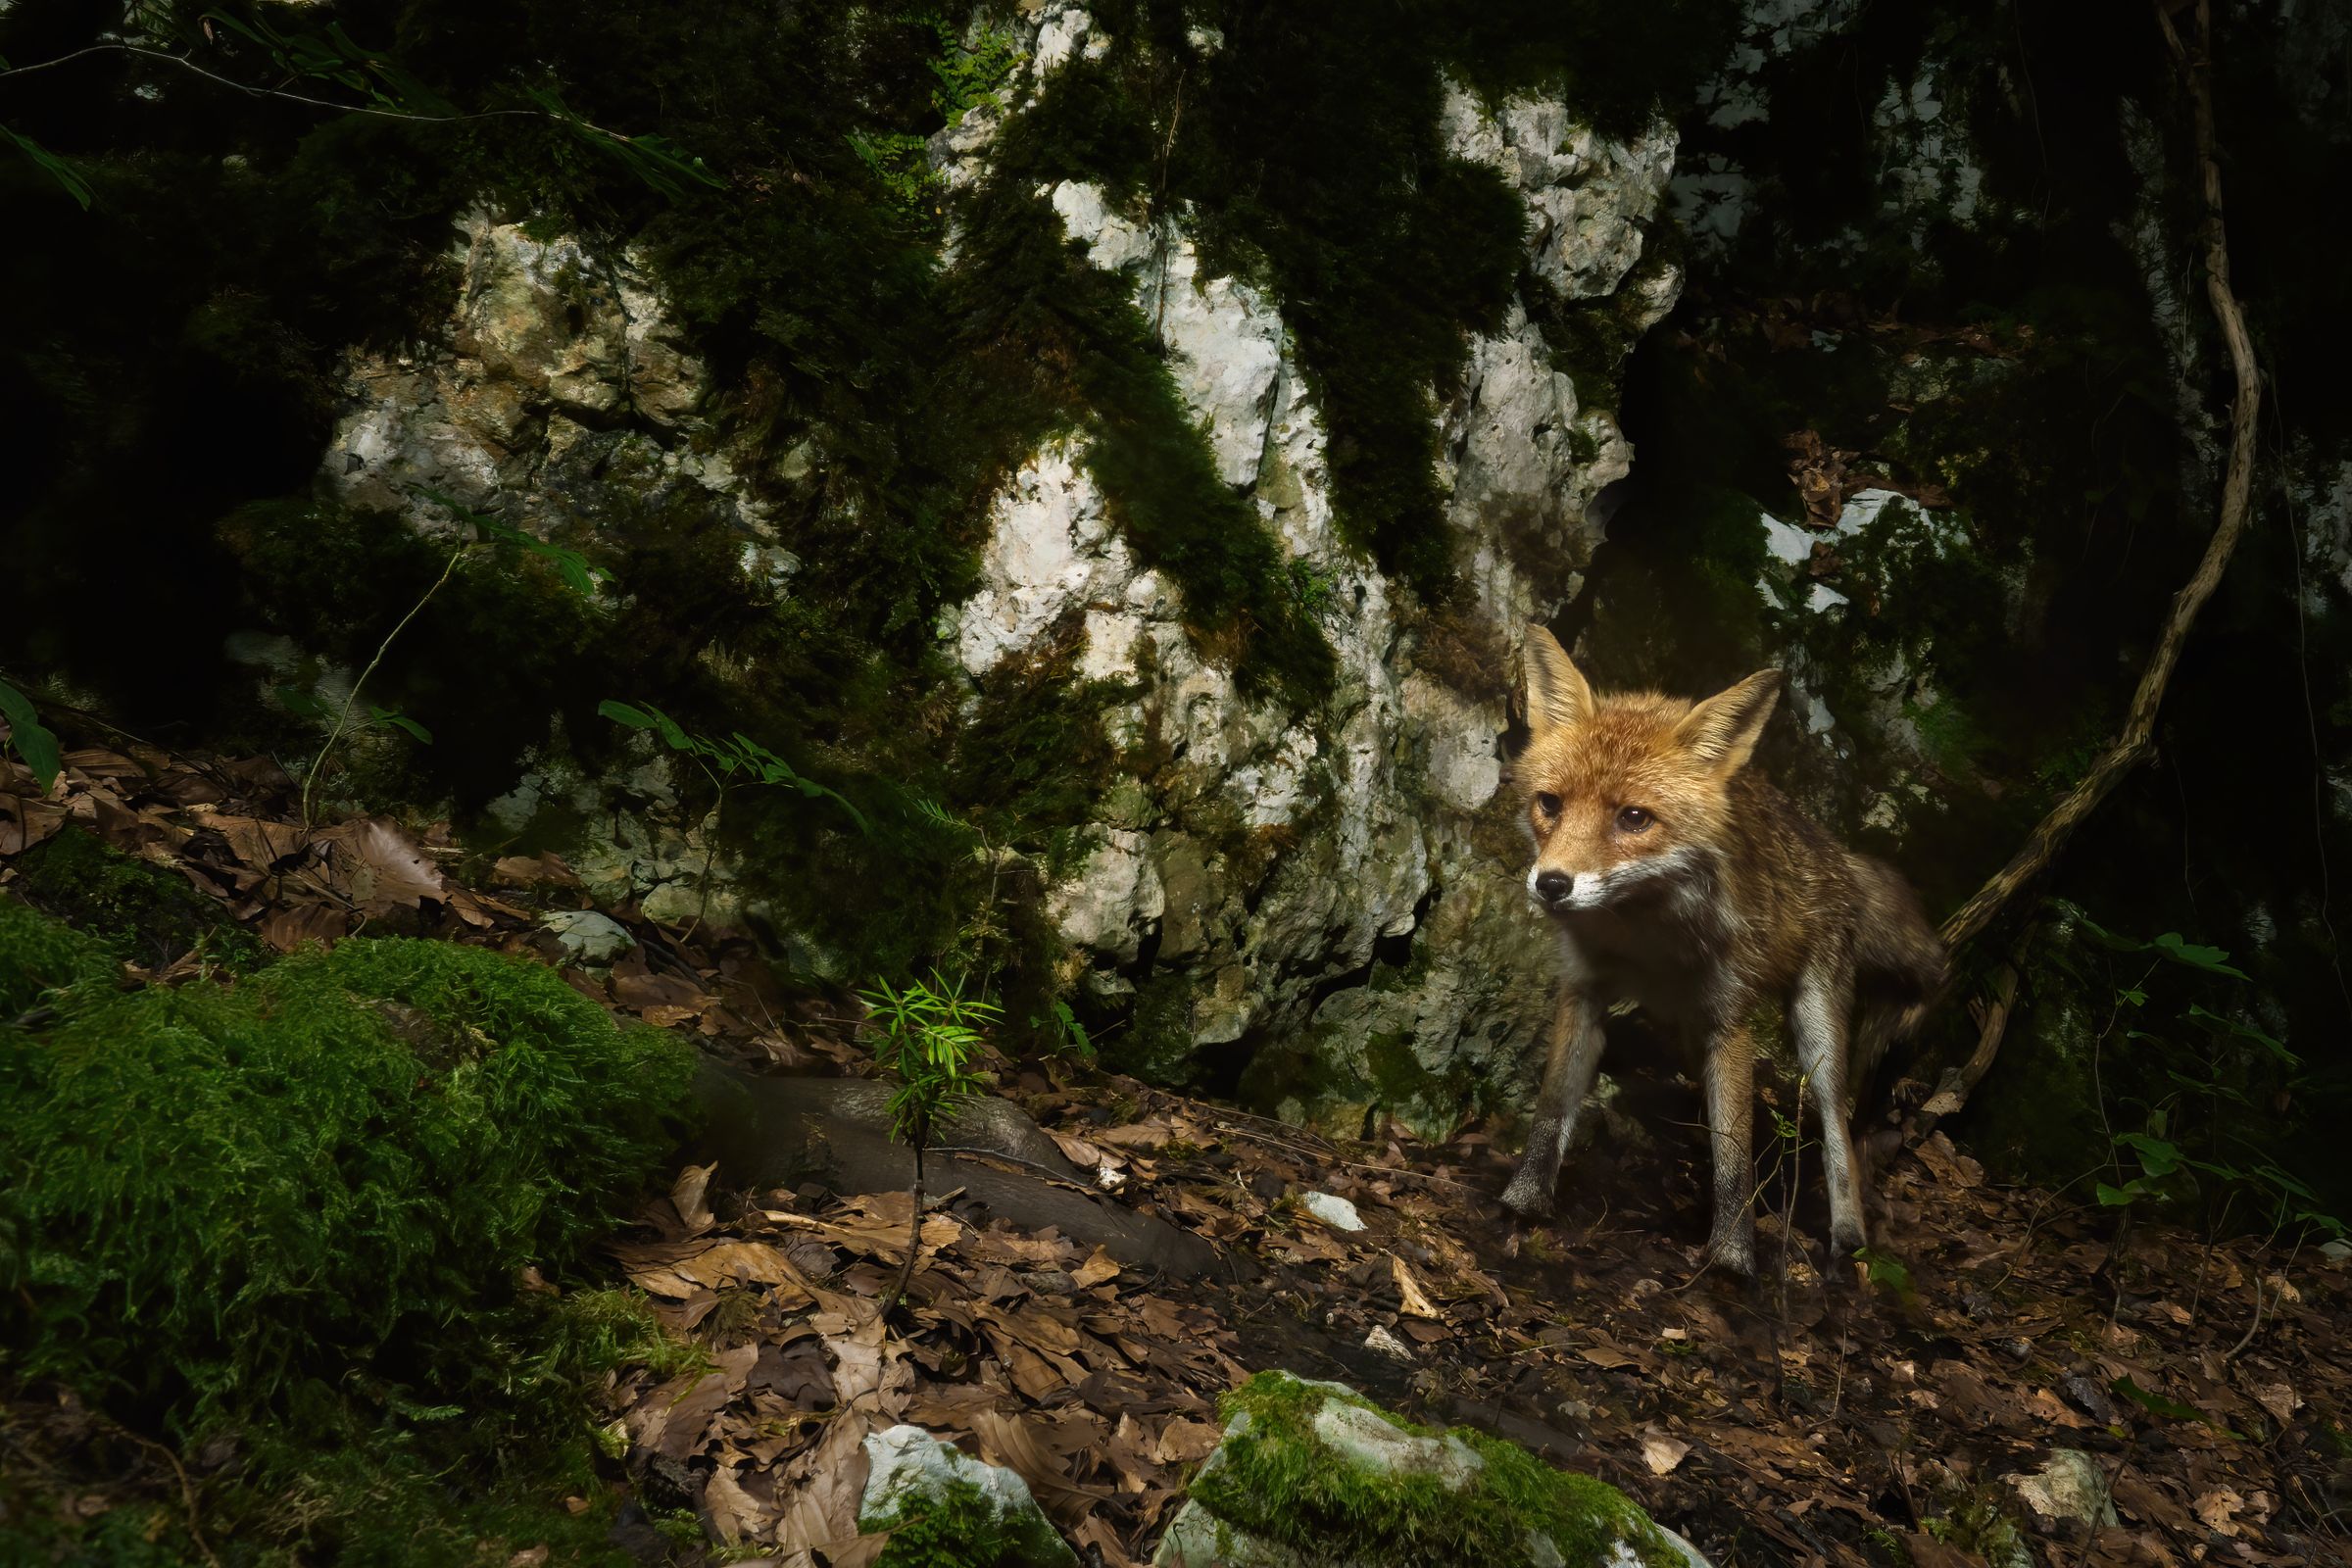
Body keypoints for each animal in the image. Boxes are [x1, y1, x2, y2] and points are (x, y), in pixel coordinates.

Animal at [1505, 625, 1947, 1278]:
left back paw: (1847, 1233)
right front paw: (1524, 1200)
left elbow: (1735, 1156)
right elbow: (1552, 1109)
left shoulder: (1730, 1020)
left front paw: (1734, 1257)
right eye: (1550, 804)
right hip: (1694, 1031)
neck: (1646, 937)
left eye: (1633, 818)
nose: (1552, 884)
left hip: (1816, 1027)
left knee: (1836, 1125)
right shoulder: (1584, 991)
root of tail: (1832, 848)